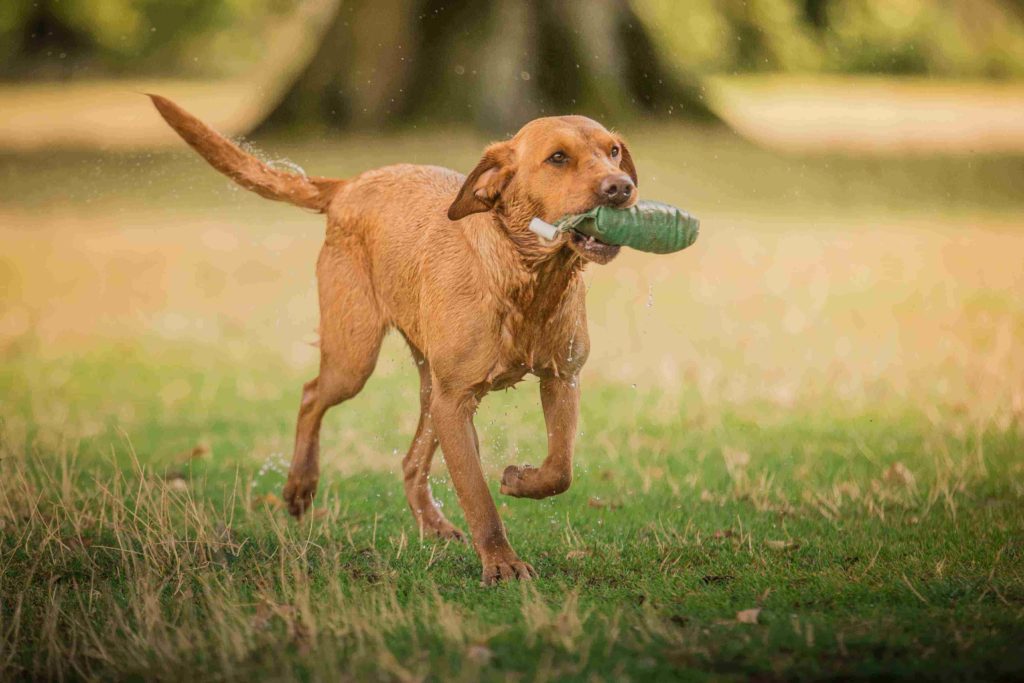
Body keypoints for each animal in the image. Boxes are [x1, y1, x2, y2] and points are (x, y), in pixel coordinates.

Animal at [149, 96, 634, 585]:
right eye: (558, 158)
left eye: (613, 151)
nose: (622, 188)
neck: (528, 279)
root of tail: (349, 184)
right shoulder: (455, 401)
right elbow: (477, 496)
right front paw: (501, 562)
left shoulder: (561, 378)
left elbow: (560, 468)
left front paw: (519, 479)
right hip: (356, 357)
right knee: (310, 395)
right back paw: (300, 486)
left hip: (428, 385)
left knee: (410, 461)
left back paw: (431, 522)